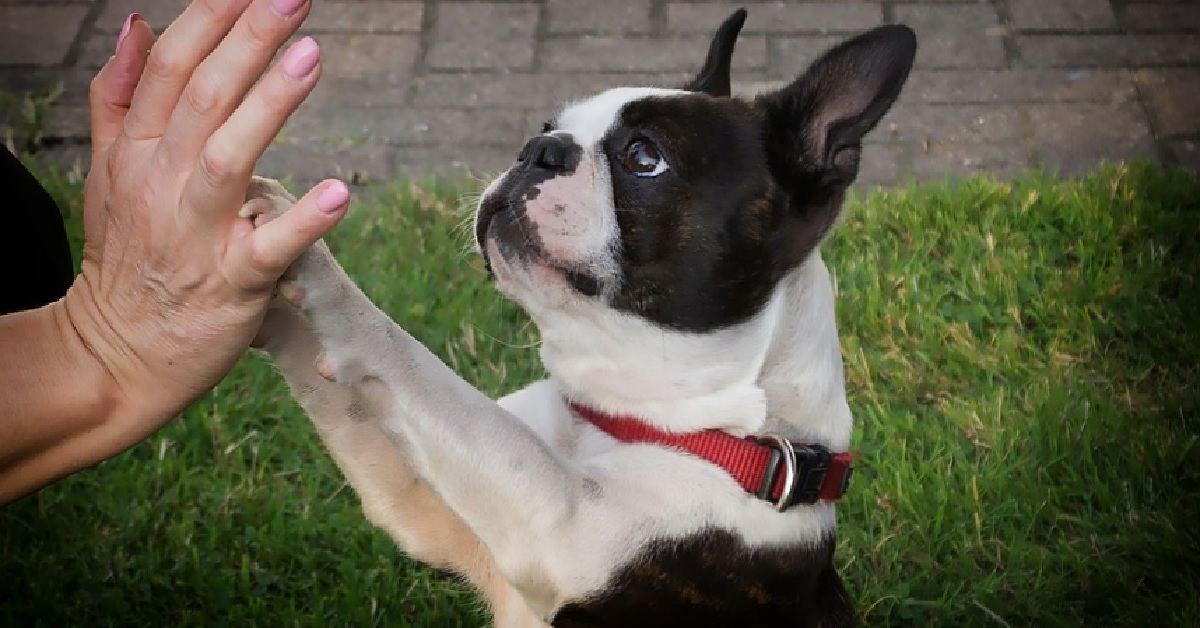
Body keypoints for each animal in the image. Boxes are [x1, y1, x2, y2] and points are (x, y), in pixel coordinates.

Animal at [248, 11, 912, 628]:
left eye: (645, 157)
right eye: (547, 127)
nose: (539, 149)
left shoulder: (557, 521)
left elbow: (418, 367)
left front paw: (317, 273)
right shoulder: (422, 508)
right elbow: (348, 401)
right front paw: (263, 266)